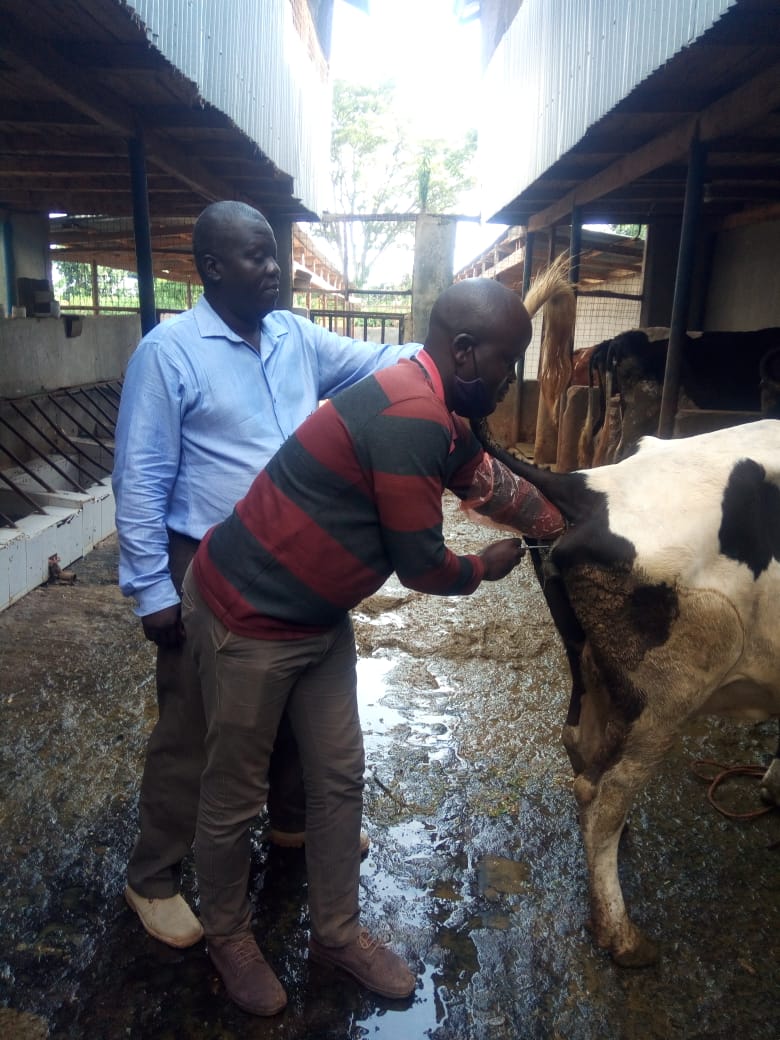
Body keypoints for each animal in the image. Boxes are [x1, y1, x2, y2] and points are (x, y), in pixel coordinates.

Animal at [470, 411, 780, 965]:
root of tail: (590, 487)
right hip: (669, 690)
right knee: (607, 789)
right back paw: (623, 937)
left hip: (591, 664)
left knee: (579, 746)